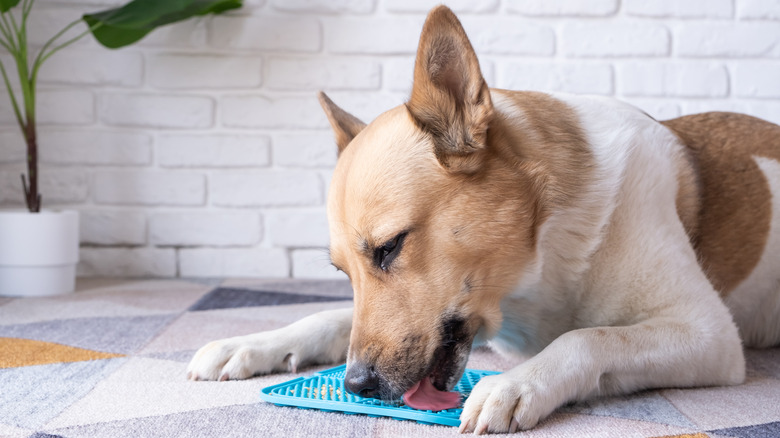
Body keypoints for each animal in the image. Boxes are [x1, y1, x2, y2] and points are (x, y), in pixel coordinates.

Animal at [189, 5, 780, 432]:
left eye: (389, 247)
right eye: (341, 271)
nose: (355, 387)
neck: (545, 251)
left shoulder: (708, 334)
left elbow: (590, 337)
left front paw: (516, 384)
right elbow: (330, 318)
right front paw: (250, 344)